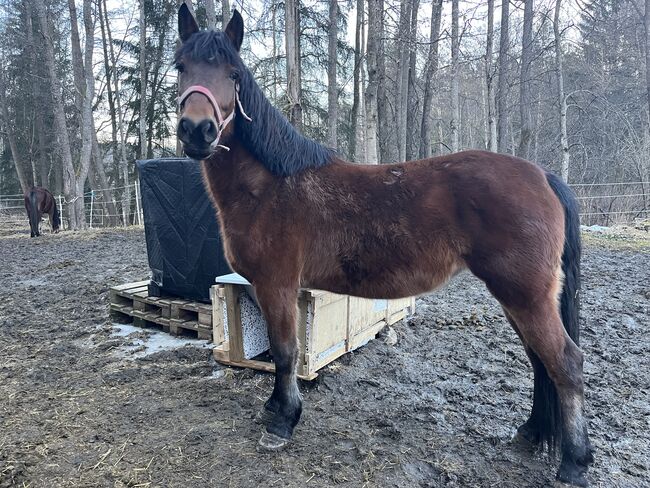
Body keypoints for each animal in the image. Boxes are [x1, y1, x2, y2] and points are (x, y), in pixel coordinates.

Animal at [172, 6, 592, 484]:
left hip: (525, 295)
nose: (197, 130)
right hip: (520, 297)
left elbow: (285, 351)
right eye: (180, 67)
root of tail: (543, 175)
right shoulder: (264, 286)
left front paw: (282, 422)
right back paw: (531, 434)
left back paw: (573, 463)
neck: (271, 186)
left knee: (565, 364)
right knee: (541, 361)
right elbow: (281, 352)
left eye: (233, 74)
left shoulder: (277, 284)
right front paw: (274, 409)